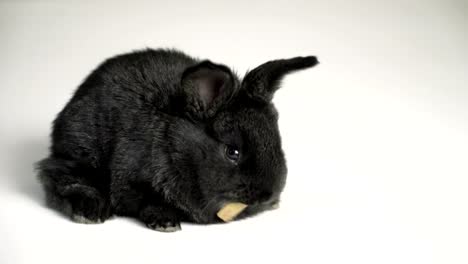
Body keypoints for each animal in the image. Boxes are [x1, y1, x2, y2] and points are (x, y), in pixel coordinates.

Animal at [36, 49, 318, 231]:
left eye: (277, 139)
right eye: (232, 152)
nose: (268, 195)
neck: (175, 146)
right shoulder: (131, 180)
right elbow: (148, 201)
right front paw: (166, 223)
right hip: (78, 154)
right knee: (58, 177)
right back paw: (90, 211)